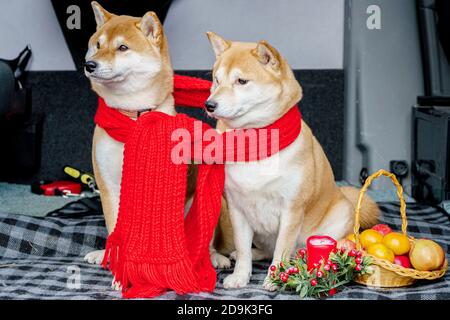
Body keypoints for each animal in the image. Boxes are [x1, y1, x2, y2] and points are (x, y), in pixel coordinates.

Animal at [83, 1, 232, 270]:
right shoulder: (107, 183)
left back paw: (214, 257)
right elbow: (113, 224)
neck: (134, 116)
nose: (90, 65)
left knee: (207, 240)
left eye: (122, 47)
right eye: (97, 45)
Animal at [205, 32, 380, 290]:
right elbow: (244, 249)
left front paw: (274, 278)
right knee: (261, 250)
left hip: (340, 214)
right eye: (217, 80)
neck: (256, 142)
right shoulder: (237, 209)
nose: (209, 104)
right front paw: (241, 275)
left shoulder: (291, 210)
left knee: (295, 250)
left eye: (242, 81)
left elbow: (281, 250)